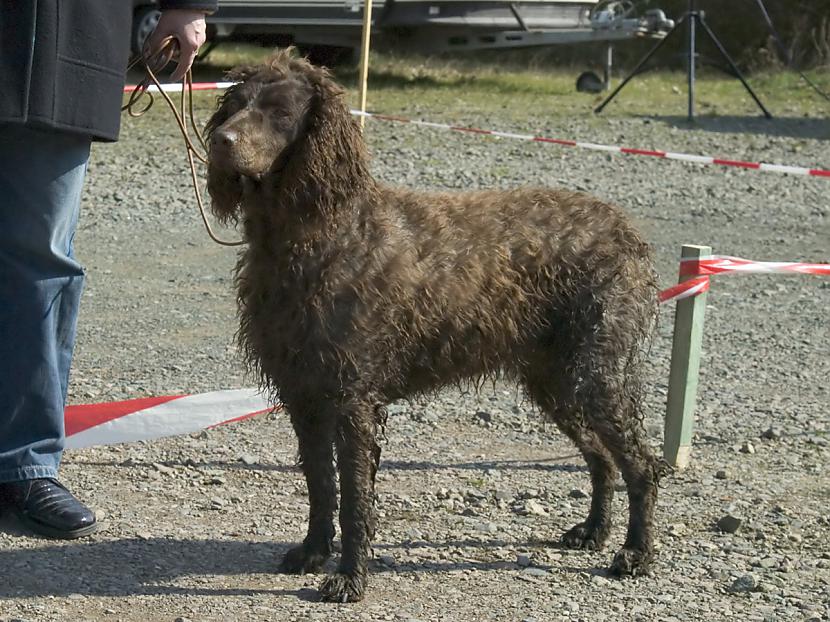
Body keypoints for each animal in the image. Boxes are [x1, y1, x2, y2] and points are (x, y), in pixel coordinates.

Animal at [206, 48, 664, 604]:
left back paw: (636, 553)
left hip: (595, 374)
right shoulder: (305, 396)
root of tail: (626, 231)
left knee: (641, 465)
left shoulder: (352, 399)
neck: (320, 235)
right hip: (558, 382)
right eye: (235, 103)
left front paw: (349, 578)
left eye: (279, 112)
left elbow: (354, 498)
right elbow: (320, 485)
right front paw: (313, 553)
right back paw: (593, 531)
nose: (220, 140)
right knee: (601, 458)